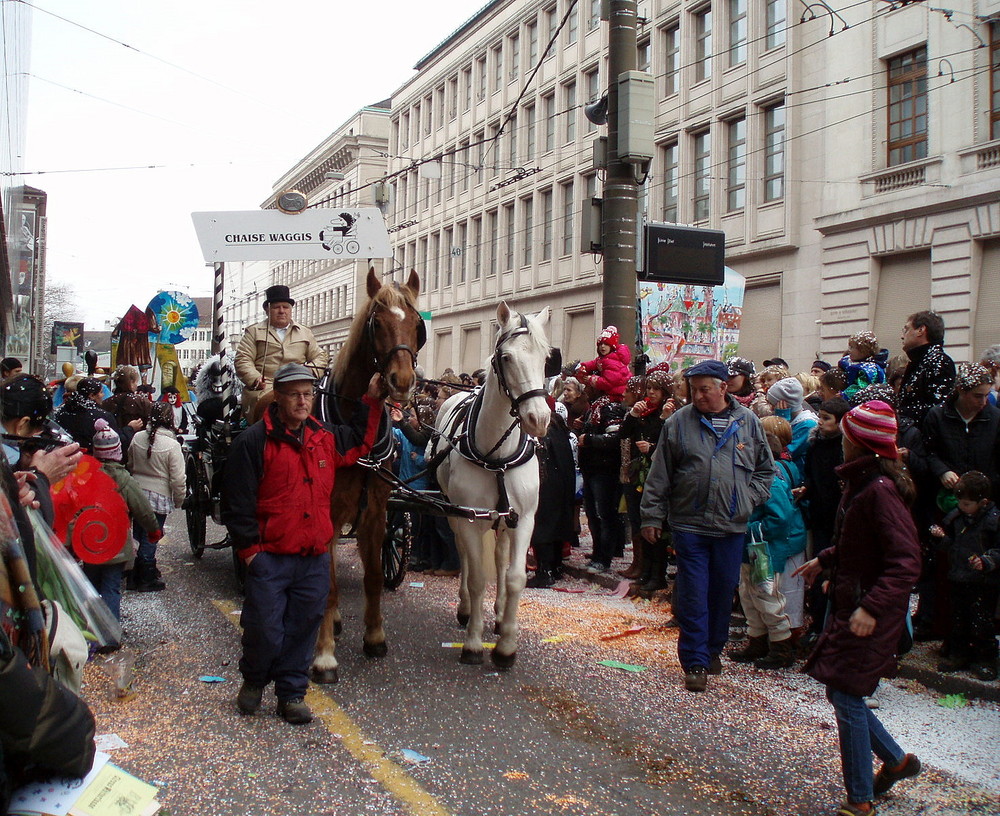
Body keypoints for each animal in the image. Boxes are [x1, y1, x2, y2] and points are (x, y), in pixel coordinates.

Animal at [310, 268, 424, 684]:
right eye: (377, 322)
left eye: (417, 323)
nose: (402, 381)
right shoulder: (325, 510)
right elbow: (325, 584)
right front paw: (324, 656)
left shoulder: (376, 510)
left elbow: (373, 575)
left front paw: (374, 636)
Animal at [430, 302, 552, 668]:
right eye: (507, 357)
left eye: (546, 357)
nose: (538, 419)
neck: (497, 456)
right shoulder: (470, 517)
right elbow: (476, 578)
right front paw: (473, 643)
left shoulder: (524, 518)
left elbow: (514, 577)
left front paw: (506, 646)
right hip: (456, 514)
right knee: (466, 559)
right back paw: (466, 610)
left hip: (503, 519)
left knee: (498, 559)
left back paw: (497, 617)